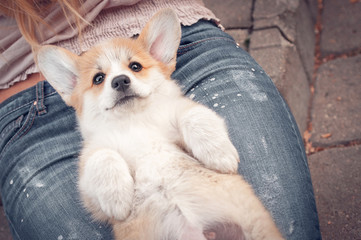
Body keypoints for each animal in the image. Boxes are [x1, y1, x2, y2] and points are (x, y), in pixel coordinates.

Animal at [36, 8, 284, 239]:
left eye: (135, 67)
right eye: (98, 79)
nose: (120, 81)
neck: (135, 122)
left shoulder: (181, 113)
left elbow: (194, 116)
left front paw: (219, 154)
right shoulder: (91, 181)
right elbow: (103, 157)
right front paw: (117, 198)